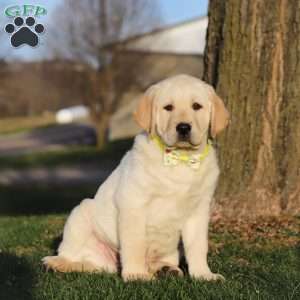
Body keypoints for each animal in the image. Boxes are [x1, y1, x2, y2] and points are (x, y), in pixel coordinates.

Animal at [42, 74, 230, 282]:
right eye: (168, 107)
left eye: (196, 106)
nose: (183, 127)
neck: (180, 159)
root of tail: (111, 263)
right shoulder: (133, 203)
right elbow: (135, 243)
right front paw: (135, 274)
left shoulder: (199, 210)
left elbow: (198, 246)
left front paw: (204, 274)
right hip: (80, 214)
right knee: (73, 256)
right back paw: (57, 263)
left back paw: (165, 268)